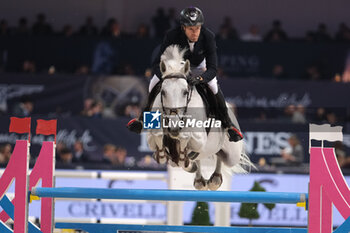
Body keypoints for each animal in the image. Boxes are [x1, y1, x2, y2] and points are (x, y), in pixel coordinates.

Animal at [147, 44, 252, 190]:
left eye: (185, 92)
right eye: (162, 92)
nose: (174, 127)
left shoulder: (200, 138)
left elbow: (187, 137)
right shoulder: (152, 138)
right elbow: (157, 136)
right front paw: (164, 154)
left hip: (232, 155)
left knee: (221, 156)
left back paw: (214, 180)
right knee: (200, 159)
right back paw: (198, 177)